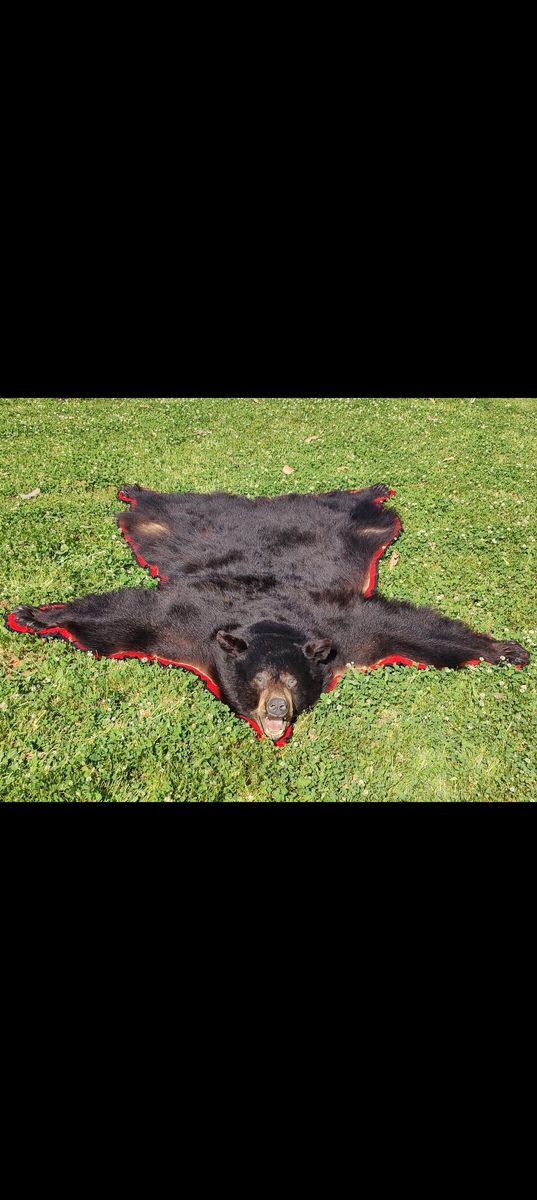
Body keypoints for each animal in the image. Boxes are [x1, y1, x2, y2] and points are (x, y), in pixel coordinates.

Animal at [7, 482, 530, 744]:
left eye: (293, 681)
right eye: (259, 680)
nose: (277, 709)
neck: (273, 620)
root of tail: (260, 507)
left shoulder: (350, 633)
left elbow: (413, 631)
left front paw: (505, 648)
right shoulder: (187, 625)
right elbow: (128, 617)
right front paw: (35, 615)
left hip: (353, 526)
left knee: (355, 506)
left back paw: (372, 488)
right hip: (175, 521)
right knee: (156, 507)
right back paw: (133, 488)